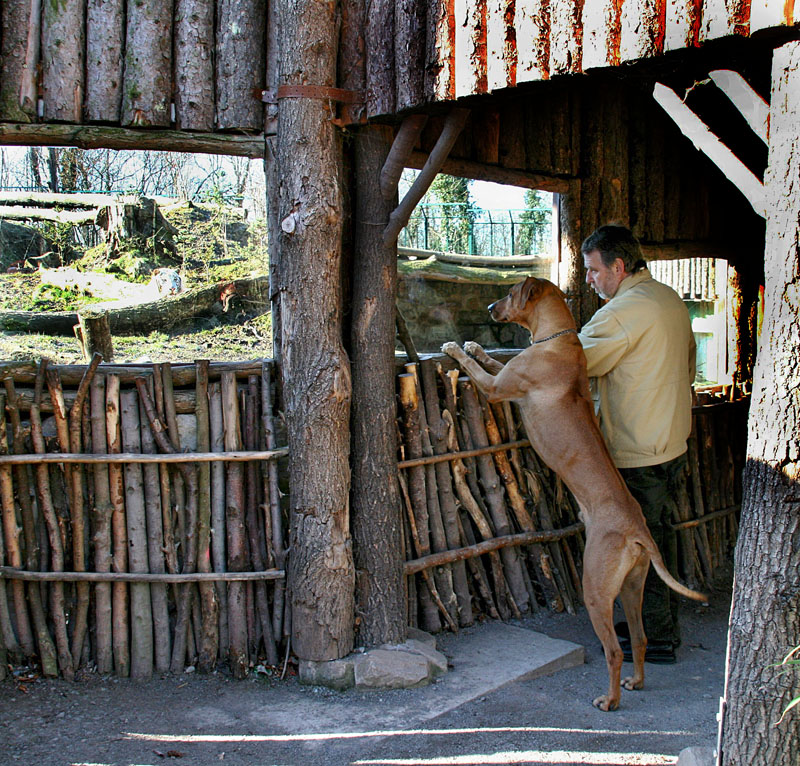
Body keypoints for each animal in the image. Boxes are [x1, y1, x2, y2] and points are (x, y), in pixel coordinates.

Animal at [440, 278, 708, 712]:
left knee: (614, 650)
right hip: (632, 587)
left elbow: (478, 370)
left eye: (511, 293)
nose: (491, 306)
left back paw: (610, 700)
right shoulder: (508, 372)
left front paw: (454, 348)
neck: (557, 338)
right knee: (639, 637)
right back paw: (636, 681)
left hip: (596, 587)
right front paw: (476, 346)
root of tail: (638, 531)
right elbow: (492, 360)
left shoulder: (497, 388)